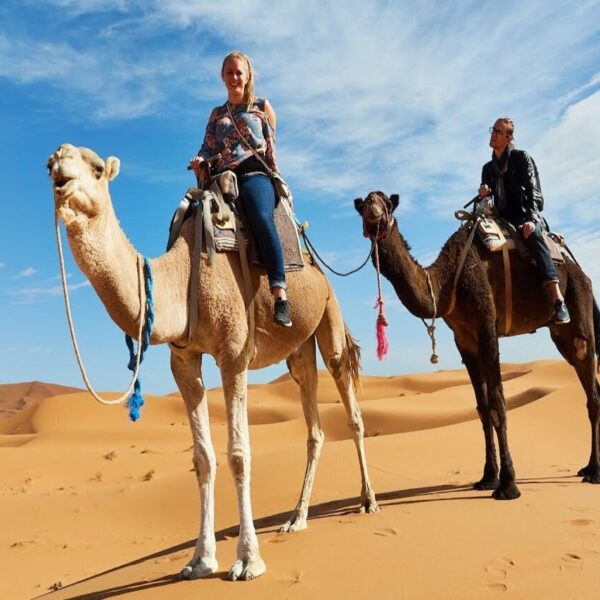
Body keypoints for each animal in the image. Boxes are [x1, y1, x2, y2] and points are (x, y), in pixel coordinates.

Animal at [47, 144, 378, 580]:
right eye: (49, 165)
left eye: (98, 168)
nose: (59, 168)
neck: (183, 276)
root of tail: (314, 263)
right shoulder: (184, 360)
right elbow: (202, 458)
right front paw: (200, 560)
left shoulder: (233, 352)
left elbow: (238, 454)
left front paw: (248, 560)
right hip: (298, 350)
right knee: (314, 424)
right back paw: (297, 517)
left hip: (329, 312)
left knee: (350, 405)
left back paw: (368, 500)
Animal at [354, 190, 600, 500]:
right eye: (364, 204)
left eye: (386, 203)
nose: (373, 212)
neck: (447, 283)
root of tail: (582, 272)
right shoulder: (464, 340)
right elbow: (482, 408)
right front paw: (487, 477)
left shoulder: (486, 326)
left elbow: (498, 403)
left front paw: (508, 485)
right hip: (560, 335)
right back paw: (588, 467)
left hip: (578, 308)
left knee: (590, 379)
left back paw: (594, 472)